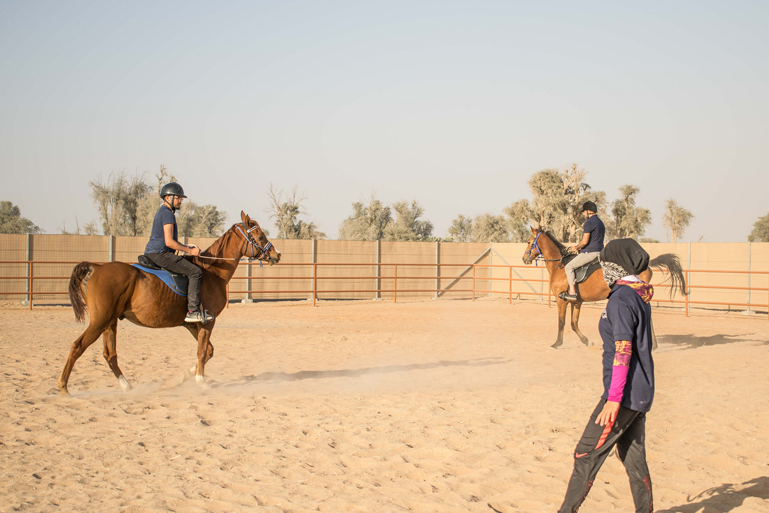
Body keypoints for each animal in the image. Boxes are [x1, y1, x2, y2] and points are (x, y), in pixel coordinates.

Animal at [57, 210, 280, 394]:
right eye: (260, 236)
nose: (276, 254)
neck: (212, 272)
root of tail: (95, 267)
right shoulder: (208, 321)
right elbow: (202, 351)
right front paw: (200, 381)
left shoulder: (191, 324)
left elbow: (208, 351)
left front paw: (181, 377)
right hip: (100, 321)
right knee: (78, 346)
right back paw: (63, 387)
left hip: (110, 322)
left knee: (110, 355)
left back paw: (127, 386)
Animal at [520, 227, 684, 348]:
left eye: (529, 242)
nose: (524, 258)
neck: (559, 266)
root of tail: (644, 265)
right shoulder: (576, 301)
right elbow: (574, 323)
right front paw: (587, 341)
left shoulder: (562, 301)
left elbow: (561, 322)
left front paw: (557, 343)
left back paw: (652, 346)